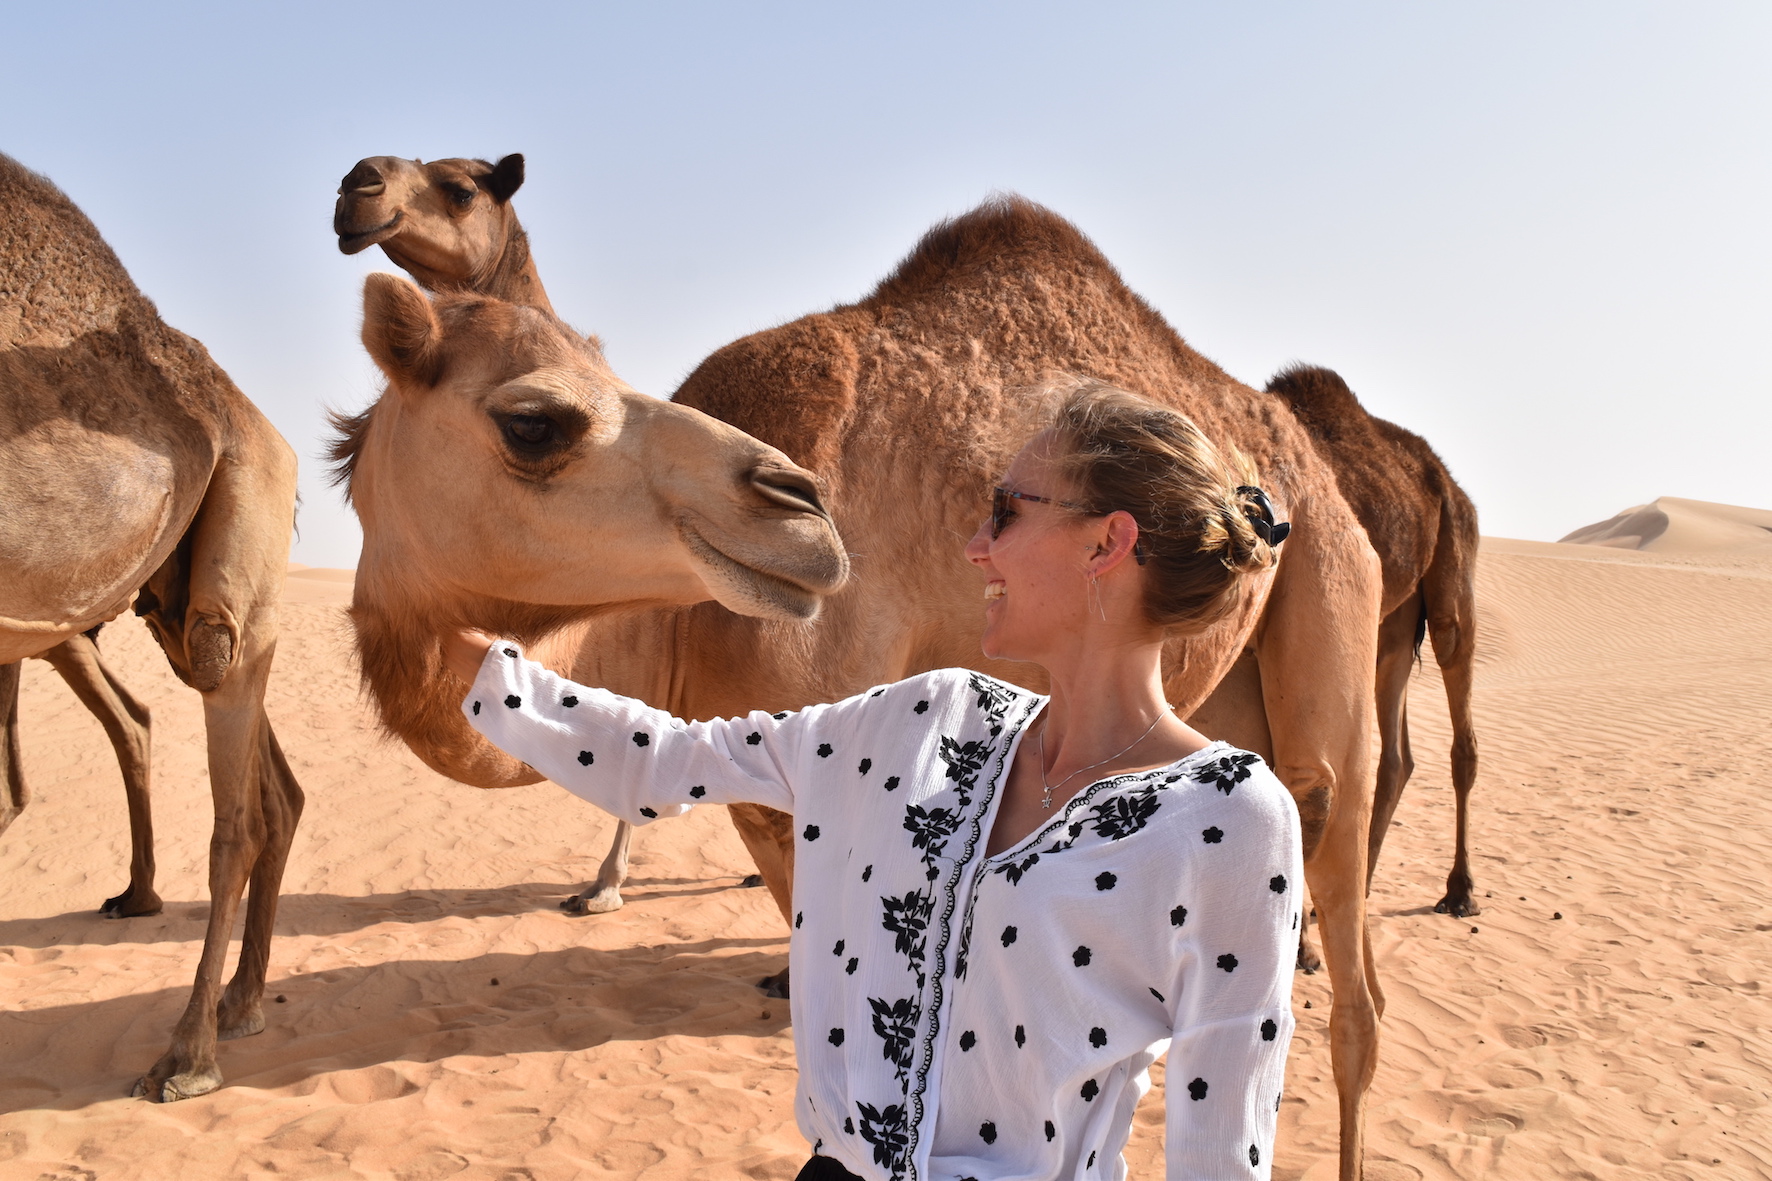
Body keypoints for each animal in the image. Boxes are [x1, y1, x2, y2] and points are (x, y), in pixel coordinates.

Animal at [1275, 363, 1481, 915]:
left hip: (1454, 560)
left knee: (1460, 731)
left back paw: (1460, 891)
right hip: (1394, 620)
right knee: (1395, 758)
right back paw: (1360, 890)